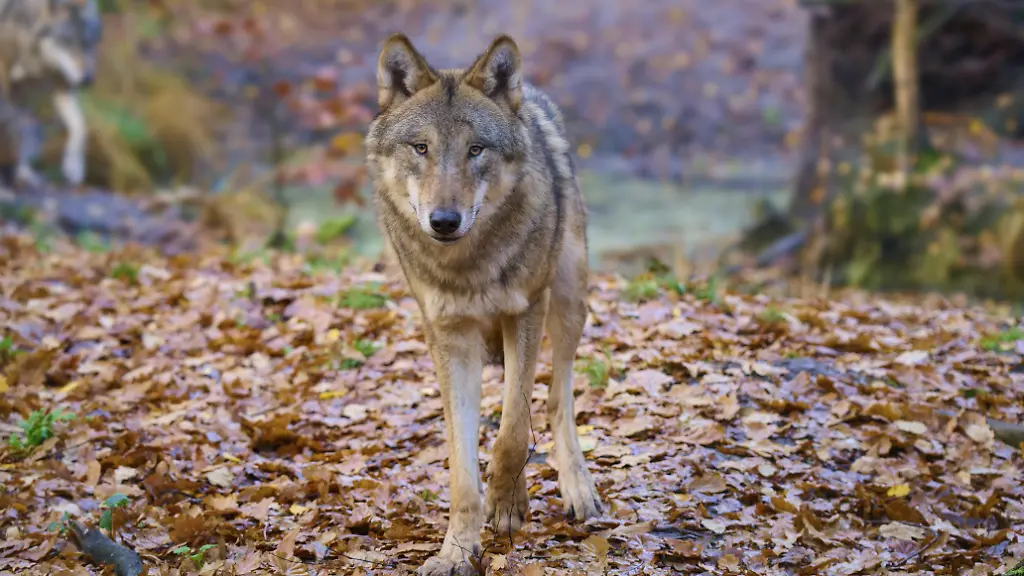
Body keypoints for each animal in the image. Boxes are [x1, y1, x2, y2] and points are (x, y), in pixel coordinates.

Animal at [0, 0, 102, 188]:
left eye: (87, 43)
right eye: (67, 42)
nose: (87, 80)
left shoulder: (61, 85)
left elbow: (80, 127)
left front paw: (73, 167)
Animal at [365, 33, 603, 575]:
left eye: (476, 150)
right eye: (421, 148)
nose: (444, 221)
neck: (468, 266)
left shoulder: (526, 310)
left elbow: (512, 429)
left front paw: (507, 504)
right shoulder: (449, 336)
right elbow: (461, 464)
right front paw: (456, 549)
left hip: (568, 297)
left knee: (557, 397)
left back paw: (578, 488)